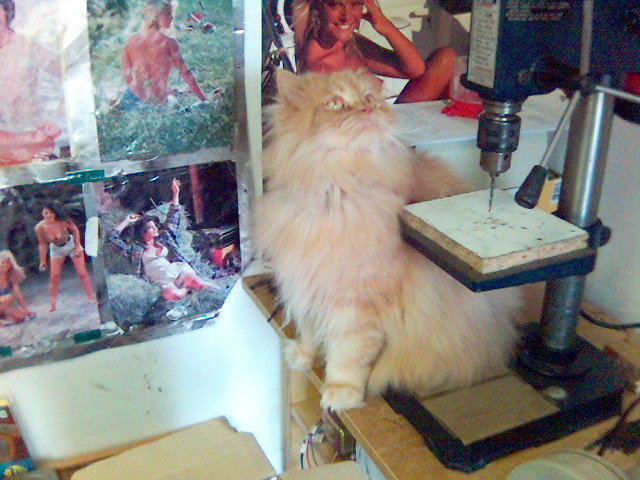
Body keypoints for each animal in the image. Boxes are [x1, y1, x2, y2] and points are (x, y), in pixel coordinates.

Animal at [254, 69, 524, 411]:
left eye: (368, 98)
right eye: (334, 103)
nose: (368, 108)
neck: (335, 191)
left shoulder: (357, 304)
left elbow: (348, 355)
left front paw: (340, 393)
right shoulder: (306, 283)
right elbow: (308, 329)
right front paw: (303, 356)